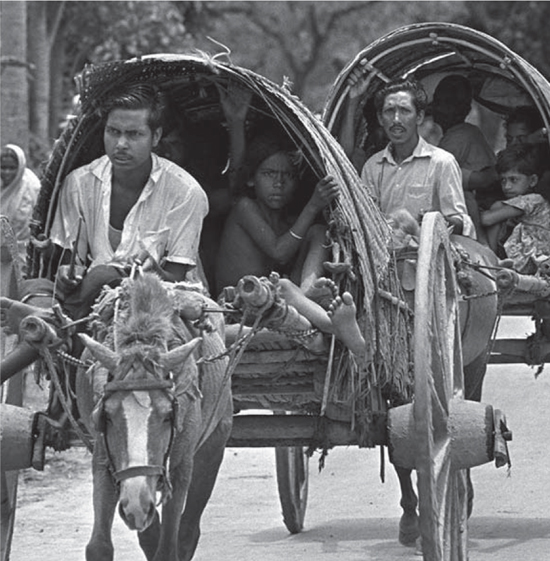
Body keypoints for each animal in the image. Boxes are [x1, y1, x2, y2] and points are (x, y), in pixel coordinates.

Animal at [1, 21, 548, 560]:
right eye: (111, 415)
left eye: (166, 414)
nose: (135, 503)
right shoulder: (104, 447)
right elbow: (103, 539)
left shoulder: (190, 451)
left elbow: (176, 536)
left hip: (458, 362)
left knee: (437, 420)